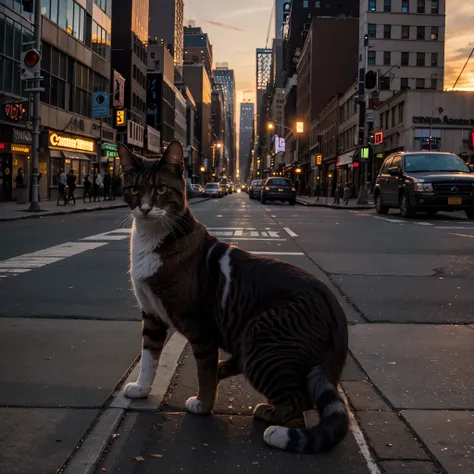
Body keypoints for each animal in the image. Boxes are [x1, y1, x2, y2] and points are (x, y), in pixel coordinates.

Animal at [118, 142, 348, 456]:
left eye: (161, 189)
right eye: (133, 189)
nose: (143, 208)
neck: (151, 239)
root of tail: (332, 302)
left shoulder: (200, 326)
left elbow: (202, 370)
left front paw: (203, 404)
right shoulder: (152, 314)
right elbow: (149, 355)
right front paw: (142, 388)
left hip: (262, 336)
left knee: (299, 399)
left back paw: (274, 423)